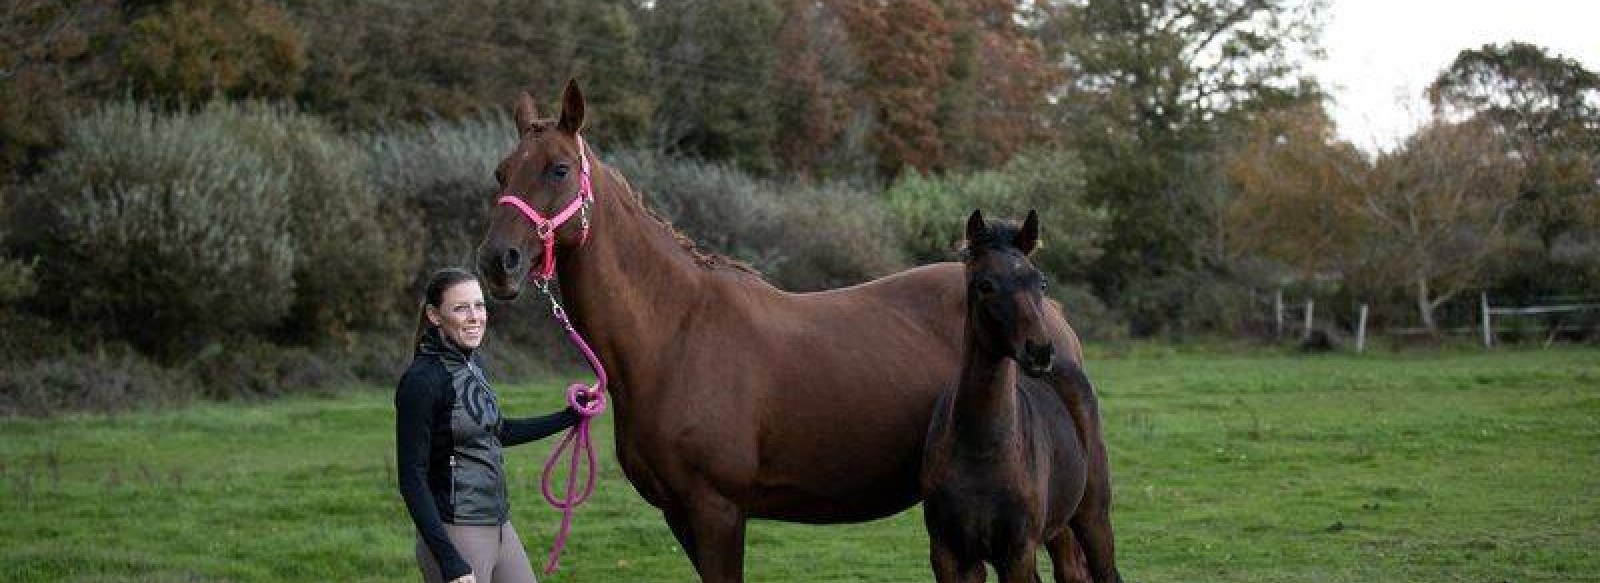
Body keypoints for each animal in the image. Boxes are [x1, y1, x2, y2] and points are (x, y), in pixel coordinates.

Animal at [921, 211, 1094, 583]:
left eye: (1040, 283)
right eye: (985, 285)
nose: (1040, 351)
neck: (982, 448)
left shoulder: (1017, 553)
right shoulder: (950, 554)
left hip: (1090, 513)